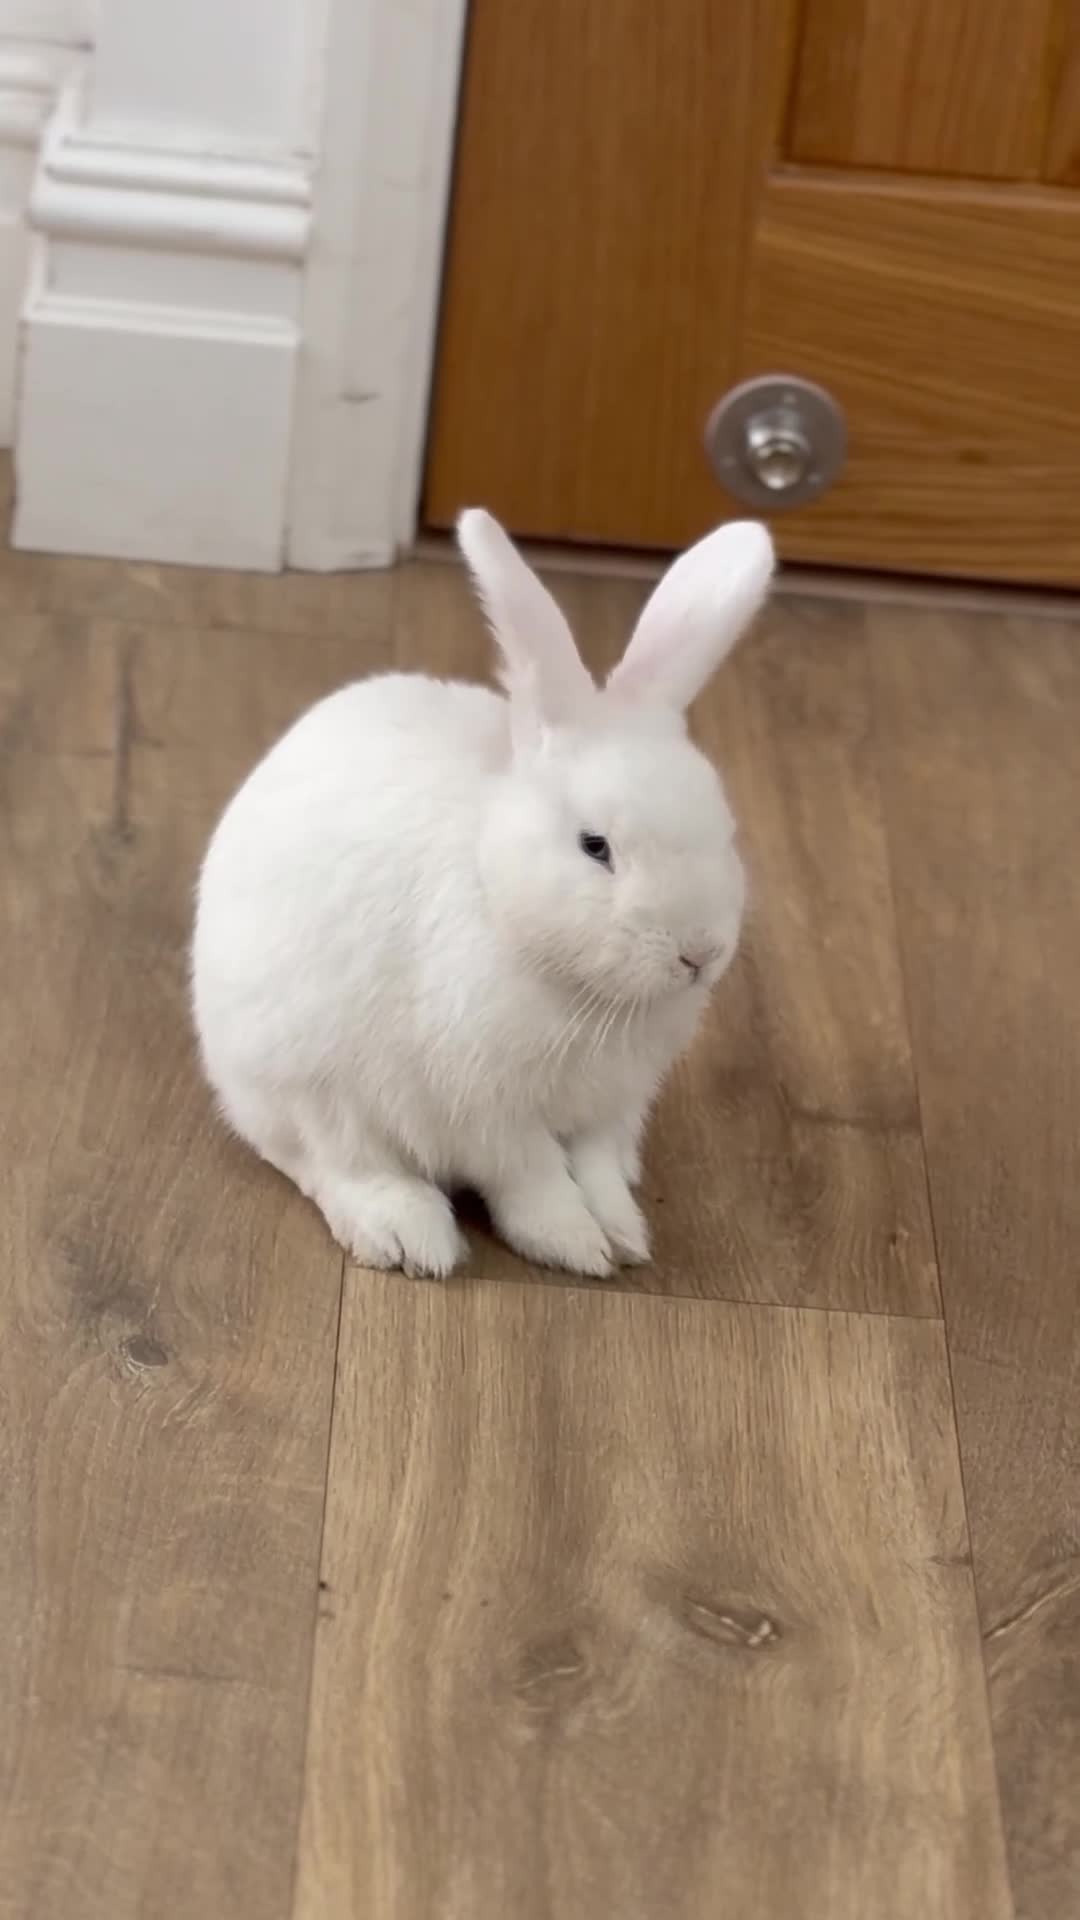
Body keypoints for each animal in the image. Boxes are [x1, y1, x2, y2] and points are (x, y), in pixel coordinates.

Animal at [191, 510, 774, 1280]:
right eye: (595, 847)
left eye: (725, 829)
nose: (699, 953)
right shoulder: (486, 1113)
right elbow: (532, 1179)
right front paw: (577, 1245)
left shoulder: (609, 1110)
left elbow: (597, 1172)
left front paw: (623, 1234)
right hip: (306, 1084)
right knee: (330, 1164)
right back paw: (408, 1238)